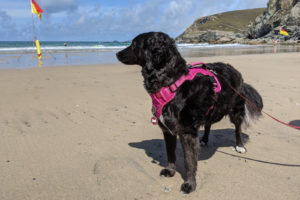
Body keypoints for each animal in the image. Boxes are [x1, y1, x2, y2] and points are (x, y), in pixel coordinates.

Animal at [116, 32, 262, 193]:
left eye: (134, 44)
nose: (116, 53)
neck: (172, 84)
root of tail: (236, 71)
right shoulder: (168, 129)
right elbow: (170, 154)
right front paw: (170, 171)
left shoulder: (187, 132)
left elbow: (189, 161)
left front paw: (190, 184)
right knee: (208, 124)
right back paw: (204, 139)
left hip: (236, 110)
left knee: (237, 128)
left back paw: (240, 145)